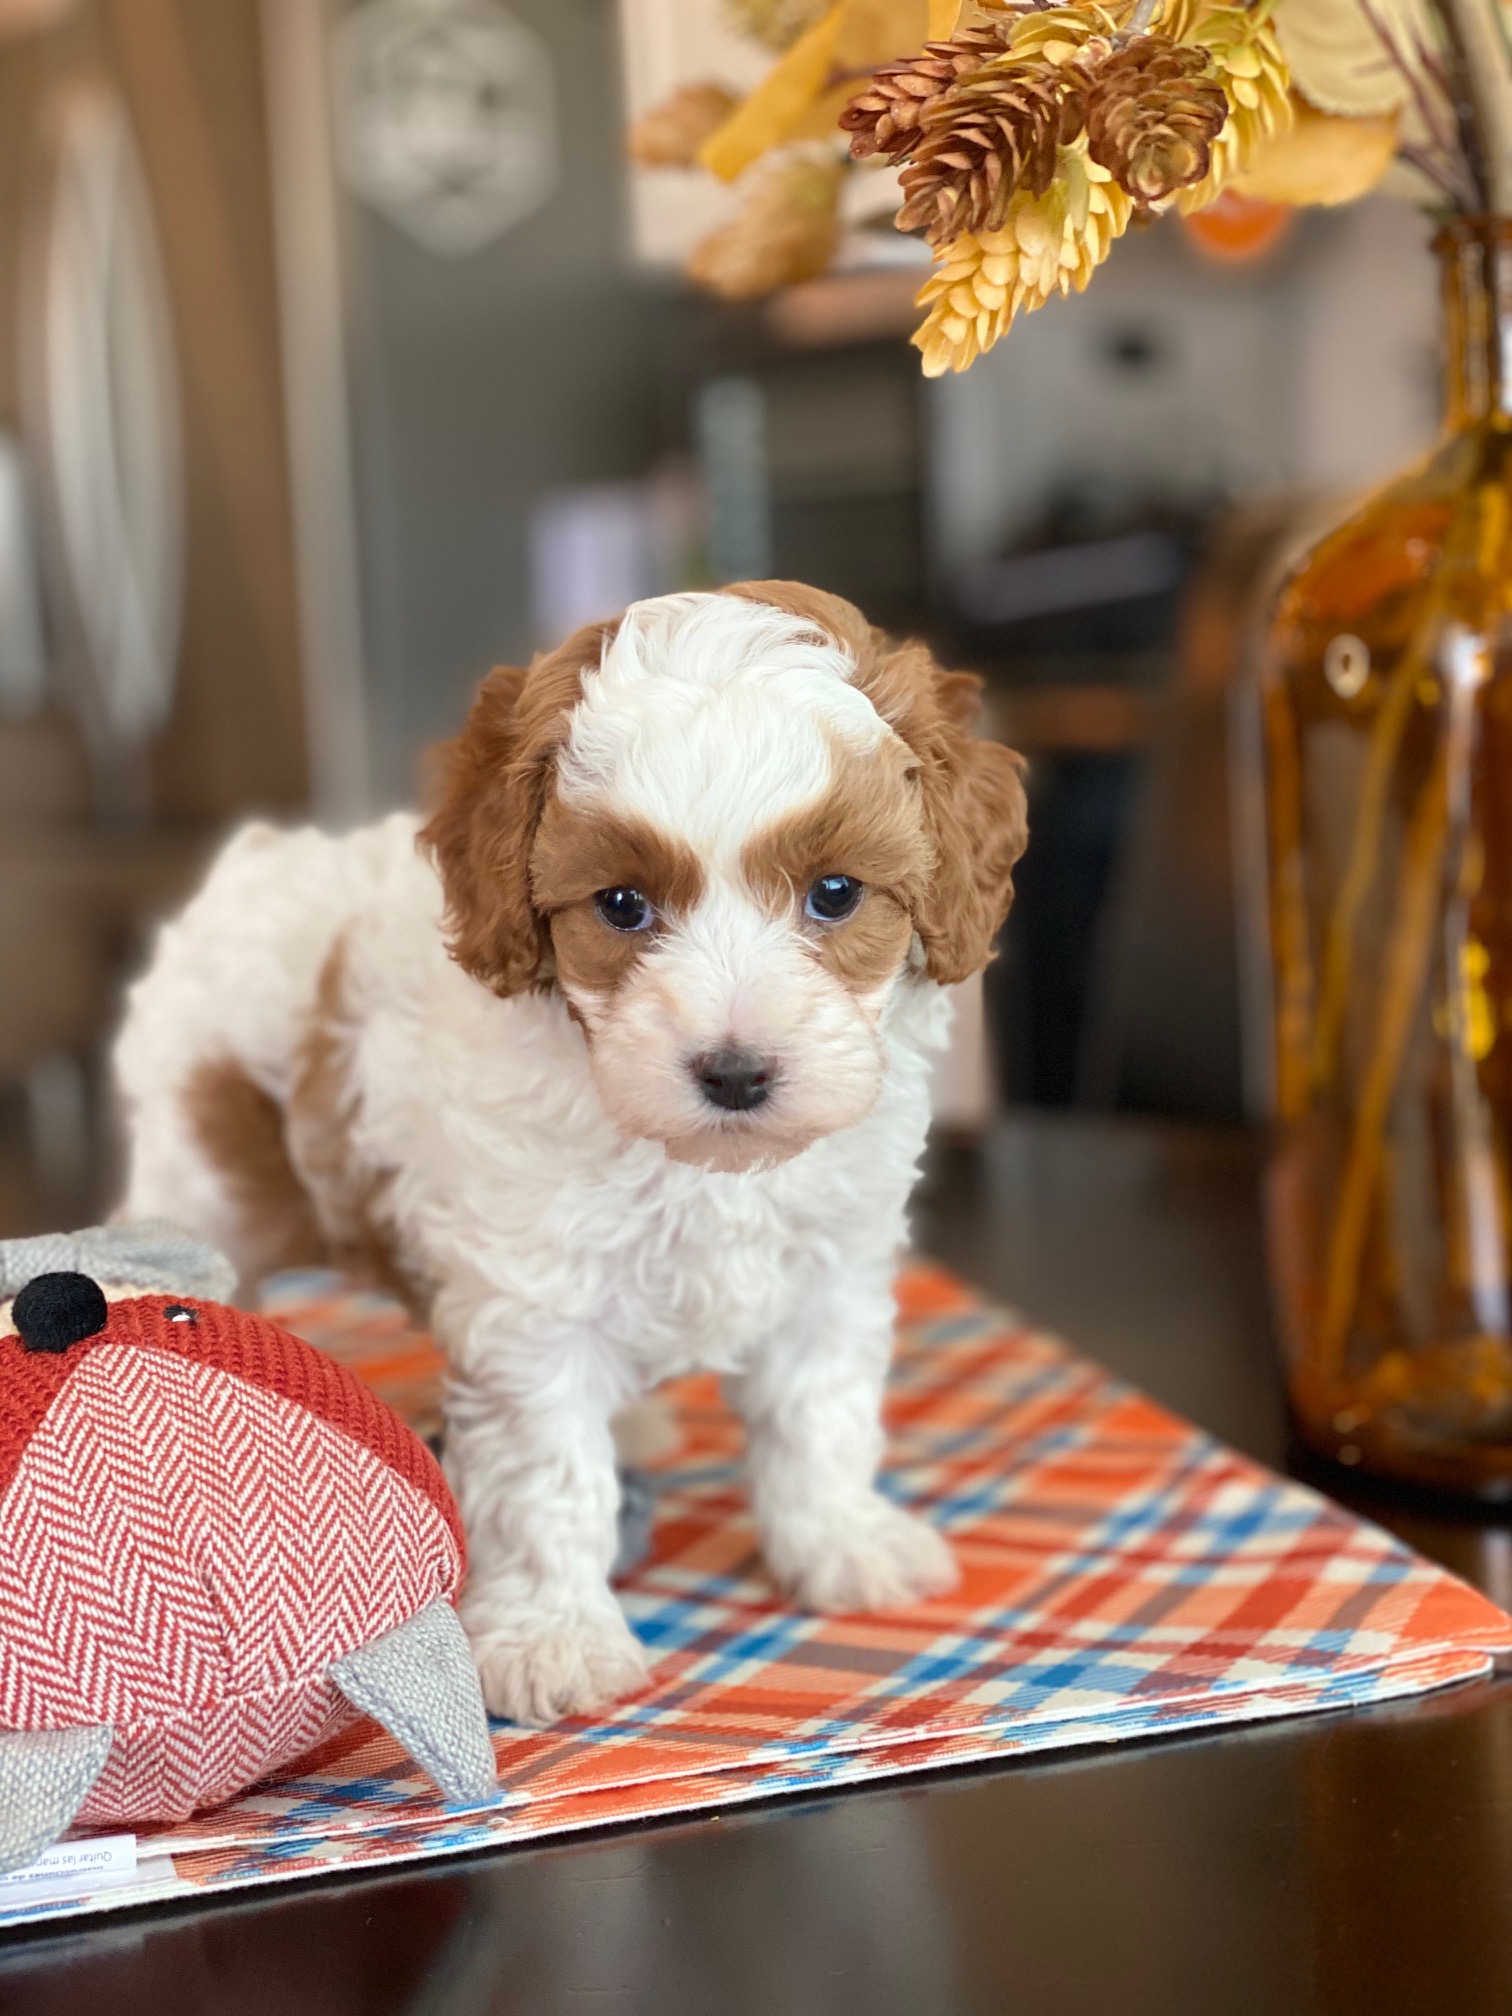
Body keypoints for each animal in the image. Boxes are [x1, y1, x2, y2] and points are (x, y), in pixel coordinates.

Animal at [115, 588, 1032, 1725]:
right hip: (201, 1183)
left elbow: (819, 1414)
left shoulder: (829, 1269)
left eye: (834, 893)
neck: (700, 1163)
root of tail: (249, 863)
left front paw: (842, 1542)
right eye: (623, 906)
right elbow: (548, 1473)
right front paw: (552, 1639)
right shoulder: (530, 1311)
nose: (735, 1072)